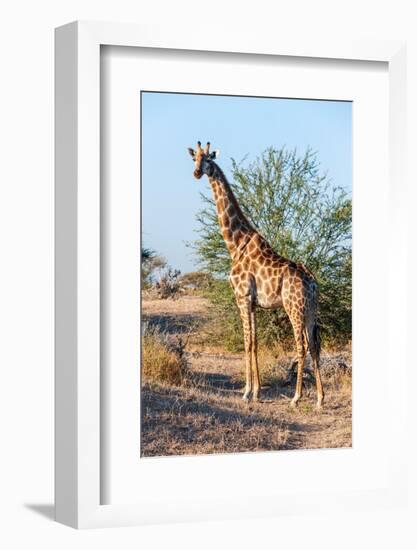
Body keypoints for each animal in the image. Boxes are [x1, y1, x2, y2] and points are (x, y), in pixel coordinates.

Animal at [187, 142, 324, 410]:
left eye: (208, 159)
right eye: (194, 158)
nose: (197, 172)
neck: (235, 244)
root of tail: (312, 282)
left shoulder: (241, 297)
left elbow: (247, 341)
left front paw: (247, 392)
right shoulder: (253, 302)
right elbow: (255, 341)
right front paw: (257, 391)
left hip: (294, 307)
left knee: (301, 345)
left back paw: (296, 397)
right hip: (311, 309)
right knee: (314, 344)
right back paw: (320, 399)